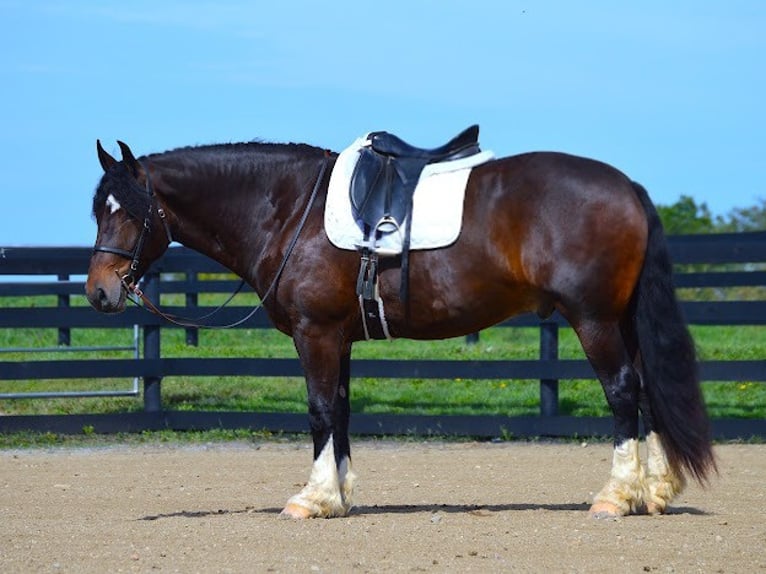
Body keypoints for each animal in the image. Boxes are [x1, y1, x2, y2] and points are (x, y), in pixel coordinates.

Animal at [87, 136, 716, 520]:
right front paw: (339, 497)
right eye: (98, 209)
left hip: (593, 320)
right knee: (647, 392)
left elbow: (319, 411)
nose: (99, 292)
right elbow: (340, 411)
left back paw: (616, 496)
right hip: (621, 321)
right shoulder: (338, 338)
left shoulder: (315, 334)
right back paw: (656, 491)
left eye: (130, 210)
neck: (289, 211)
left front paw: (312, 499)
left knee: (624, 392)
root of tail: (627, 187)